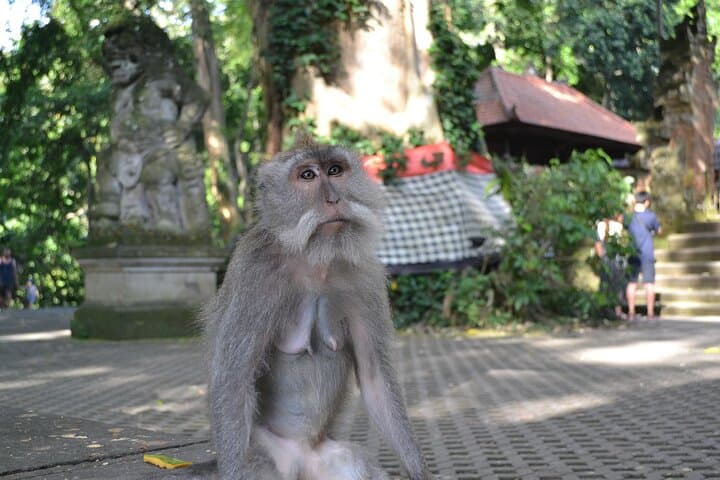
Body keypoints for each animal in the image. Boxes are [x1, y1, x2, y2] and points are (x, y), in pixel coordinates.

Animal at [175, 139, 432, 480]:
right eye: (307, 175)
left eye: (335, 170)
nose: (334, 199)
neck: (315, 260)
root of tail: (302, 460)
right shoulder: (255, 272)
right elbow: (233, 377)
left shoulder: (366, 276)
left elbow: (375, 374)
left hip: (325, 459)